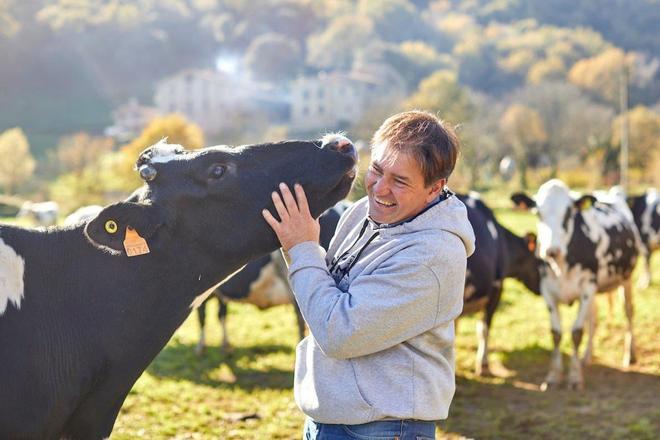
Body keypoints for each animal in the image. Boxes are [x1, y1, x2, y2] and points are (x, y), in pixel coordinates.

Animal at [510, 180, 640, 390]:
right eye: (538, 213)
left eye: (569, 213)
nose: (551, 250)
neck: (561, 266)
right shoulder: (548, 290)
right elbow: (556, 333)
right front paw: (553, 376)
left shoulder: (587, 288)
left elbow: (577, 332)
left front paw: (574, 377)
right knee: (593, 318)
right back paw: (586, 357)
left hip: (626, 278)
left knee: (628, 311)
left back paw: (630, 355)